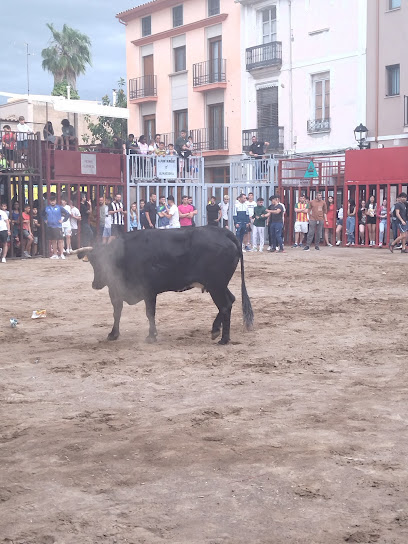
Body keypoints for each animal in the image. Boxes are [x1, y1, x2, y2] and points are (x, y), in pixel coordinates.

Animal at [77, 225, 253, 344]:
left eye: (103, 262)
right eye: (93, 262)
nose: (96, 284)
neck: (124, 254)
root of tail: (223, 232)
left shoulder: (148, 291)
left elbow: (149, 313)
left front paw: (151, 336)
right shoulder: (116, 290)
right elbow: (117, 312)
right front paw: (113, 334)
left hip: (216, 285)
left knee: (225, 305)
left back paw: (223, 338)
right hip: (219, 285)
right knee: (230, 300)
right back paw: (216, 330)